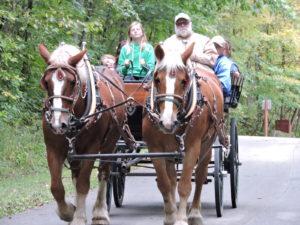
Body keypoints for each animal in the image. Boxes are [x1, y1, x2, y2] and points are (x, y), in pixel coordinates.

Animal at [38, 44, 125, 225]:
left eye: (72, 82)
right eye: (46, 82)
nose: (58, 123)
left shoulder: (91, 149)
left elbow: (83, 184)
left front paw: (78, 218)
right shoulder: (53, 149)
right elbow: (56, 187)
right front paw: (68, 212)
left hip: (110, 144)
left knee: (104, 173)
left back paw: (100, 213)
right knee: (76, 176)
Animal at [144, 42, 226, 225]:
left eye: (183, 81)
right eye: (157, 79)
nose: (167, 121)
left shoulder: (192, 148)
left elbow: (185, 185)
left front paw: (181, 218)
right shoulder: (155, 149)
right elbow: (165, 184)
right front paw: (170, 216)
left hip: (207, 144)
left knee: (201, 175)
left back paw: (195, 212)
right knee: (172, 178)